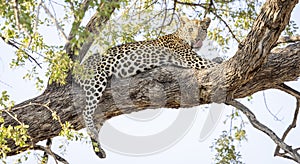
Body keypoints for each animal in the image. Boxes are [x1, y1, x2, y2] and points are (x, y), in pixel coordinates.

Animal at [74, 16, 217, 158]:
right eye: (191, 29)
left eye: (202, 29)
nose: (197, 39)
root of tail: (78, 68)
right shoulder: (191, 59)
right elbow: (212, 63)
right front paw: (219, 60)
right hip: (97, 79)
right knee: (86, 111)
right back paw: (92, 132)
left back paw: (99, 149)